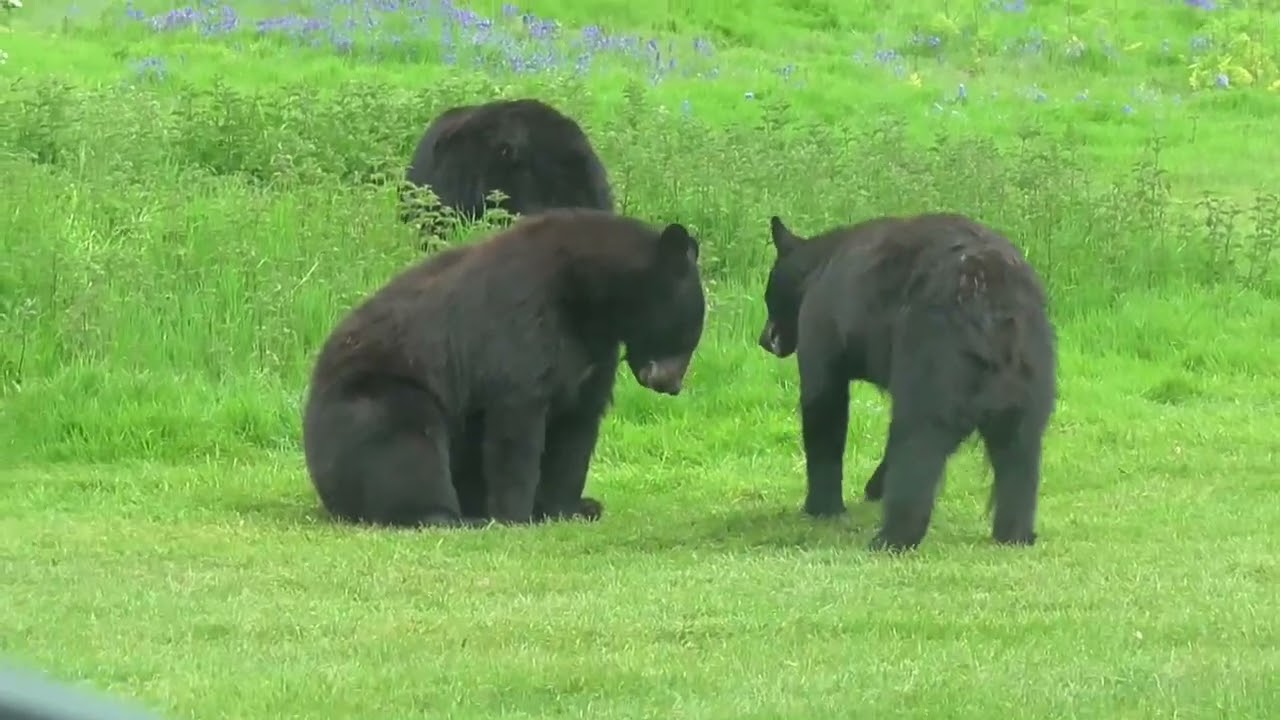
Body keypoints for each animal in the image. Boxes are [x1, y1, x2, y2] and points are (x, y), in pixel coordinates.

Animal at [302, 208, 706, 528]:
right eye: (689, 331)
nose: (671, 384)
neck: (588, 298)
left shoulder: (591, 353)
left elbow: (576, 425)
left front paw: (568, 508)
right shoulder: (522, 323)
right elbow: (517, 423)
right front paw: (516, 514)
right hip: (377, 396)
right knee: (407, 445)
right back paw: (449, 516)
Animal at [756, 212, 1057, 552]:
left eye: (769, 295)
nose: (764, 339)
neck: (817, 268)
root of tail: (991, 297)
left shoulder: (820, 327)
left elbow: (823, 407)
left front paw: (822, 507)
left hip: (934, 355)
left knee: (918, 443)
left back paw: (892, 538)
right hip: (1030, 372)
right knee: (1020, 452)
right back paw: (1015, 533)